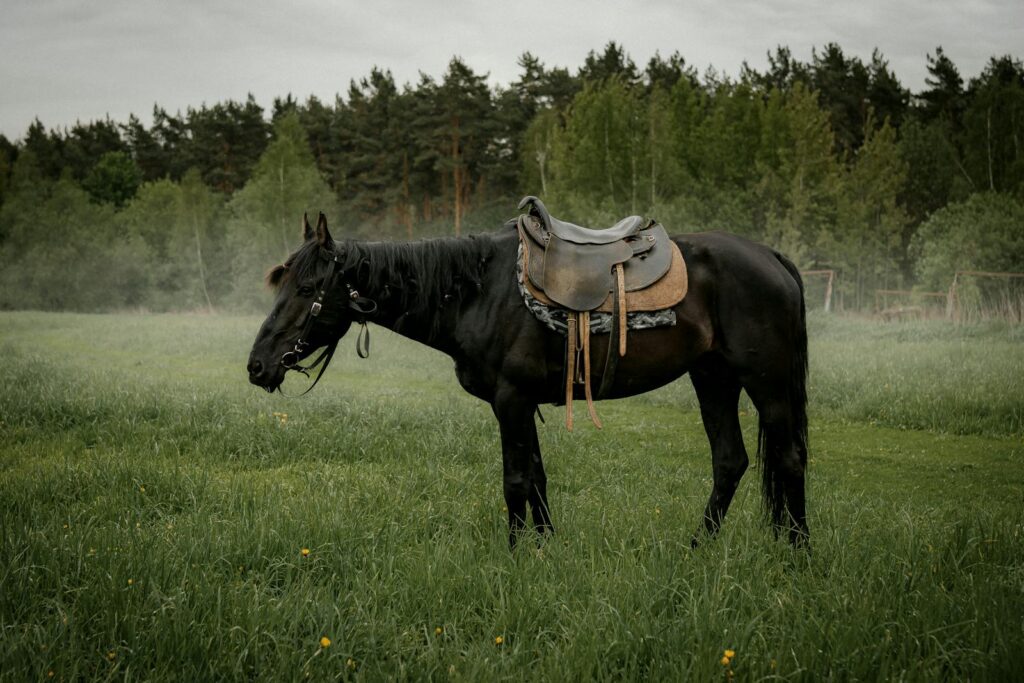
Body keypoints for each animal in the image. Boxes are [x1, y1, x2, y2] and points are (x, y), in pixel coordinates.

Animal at [247, 209, 809, 549]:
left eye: (308, 288)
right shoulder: (521, 405)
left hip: (766, 383)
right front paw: (546, 548)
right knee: (730, 461)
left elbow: (516, 481)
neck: (479, 292)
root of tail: (771, 258)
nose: (257, 364)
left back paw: (796, 553)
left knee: (788, 458)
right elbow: (537, 477)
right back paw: (697, 548)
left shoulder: (511, 400)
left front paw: (517, 554)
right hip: (713, 379)